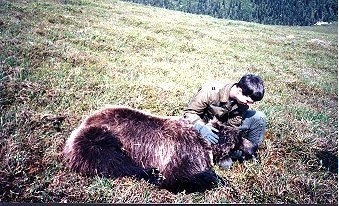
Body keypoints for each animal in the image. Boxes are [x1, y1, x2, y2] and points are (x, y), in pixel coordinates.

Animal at [62, 105, 256, 194]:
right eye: (240, 140)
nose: (253, 148)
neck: (207, 144)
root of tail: (82, 123)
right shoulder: (183, 151)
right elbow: (180, 177)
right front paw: (220, 180)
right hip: (100, 137)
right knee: (112, 160)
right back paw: (151, 173)